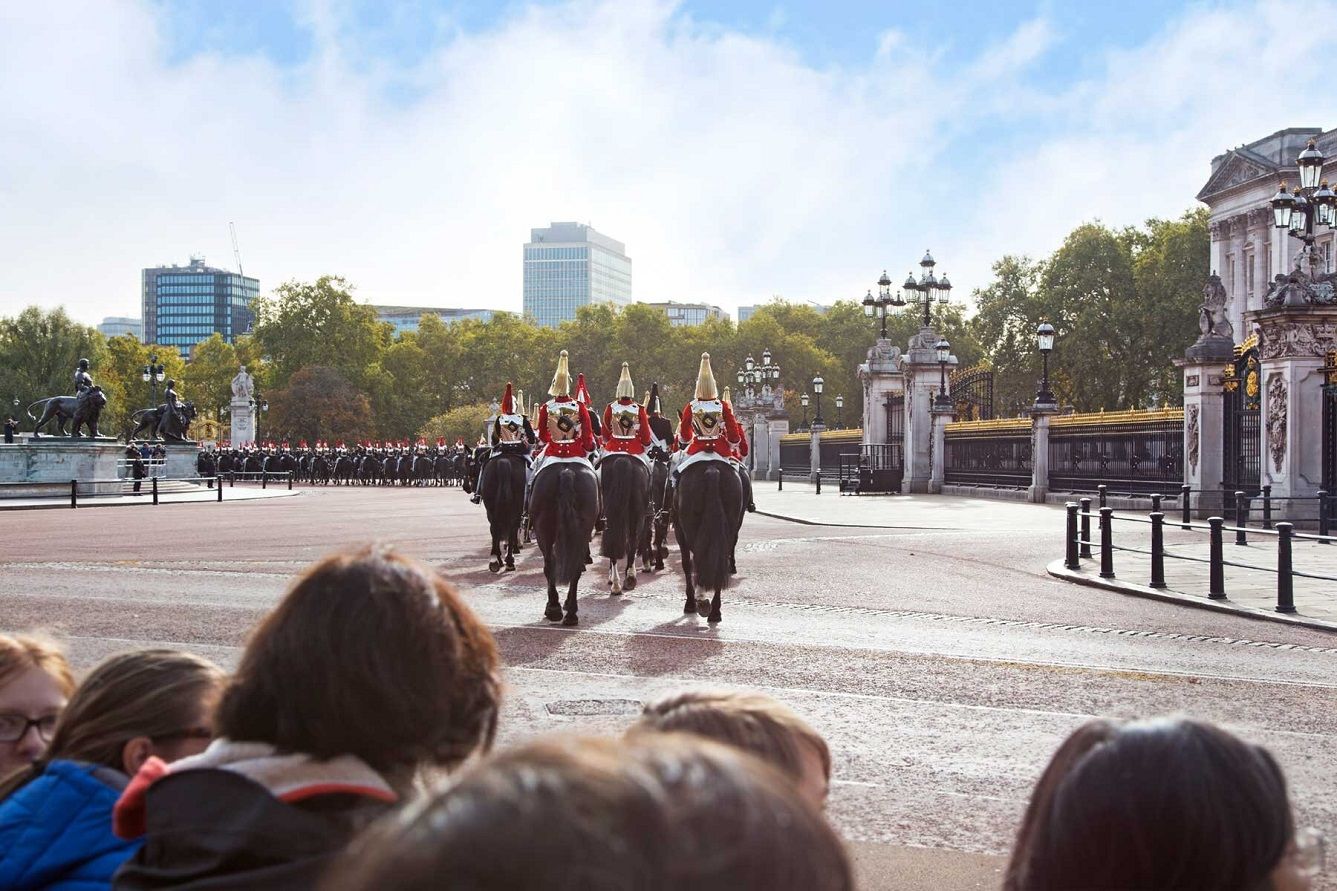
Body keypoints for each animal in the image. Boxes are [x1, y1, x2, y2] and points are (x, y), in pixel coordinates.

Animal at [529, 465, 598, 623]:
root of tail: (566, 471)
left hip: (544, 530)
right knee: (575, 568)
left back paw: (554, 608)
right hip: (582, 533)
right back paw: (571, 613)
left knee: (550, 565)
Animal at [673, 457, 748, 623]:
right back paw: (715, 611)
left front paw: (691, 602)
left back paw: (701, 602)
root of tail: (712, 469)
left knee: (699, 559)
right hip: (730, 526)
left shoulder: (679, 531)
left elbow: (687, 564)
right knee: (720, 560)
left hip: (689, 529)